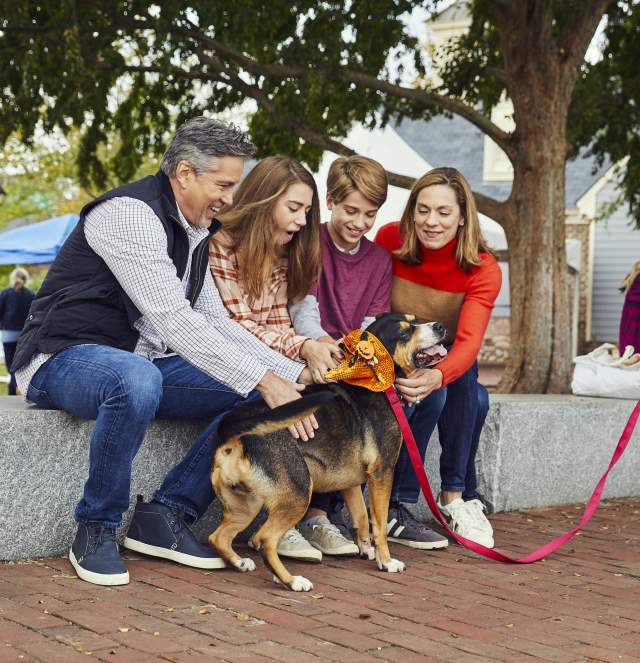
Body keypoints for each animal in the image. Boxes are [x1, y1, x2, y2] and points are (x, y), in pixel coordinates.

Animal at [209, 314, 444, 592]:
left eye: (414, 320)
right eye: (405, 333)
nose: (440, 326)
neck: (372, 382)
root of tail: (233, 428)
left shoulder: (351, 482)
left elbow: (361, 518)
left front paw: (367, 550)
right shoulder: (382, 472)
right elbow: (379, 525)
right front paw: (385, 561)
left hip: (247, 503)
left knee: (219, 537)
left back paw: (241, 562)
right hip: (298, 492)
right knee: (263, 539)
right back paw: (291, 580)